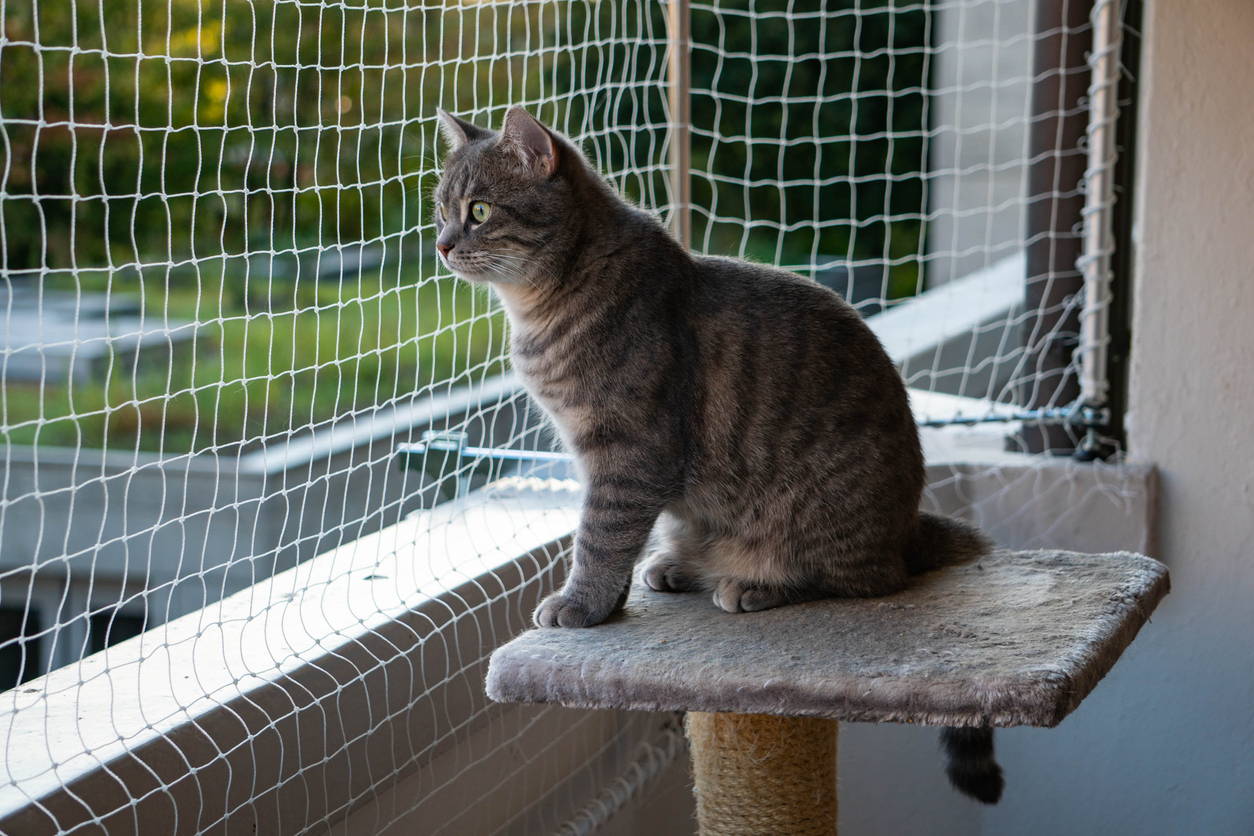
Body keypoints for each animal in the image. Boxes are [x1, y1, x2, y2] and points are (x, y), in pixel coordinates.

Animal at [436, 106, 1003, 802]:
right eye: (442, 209)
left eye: (480, 210)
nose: (441, 244)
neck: (551, 300)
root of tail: (908, 527)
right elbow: (608, 541)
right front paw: (610, 598)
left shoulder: (629, 454)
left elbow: (599, 537)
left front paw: (582, 603)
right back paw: (680, 567)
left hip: (823, 521)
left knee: (866, 579)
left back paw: (754, 585)